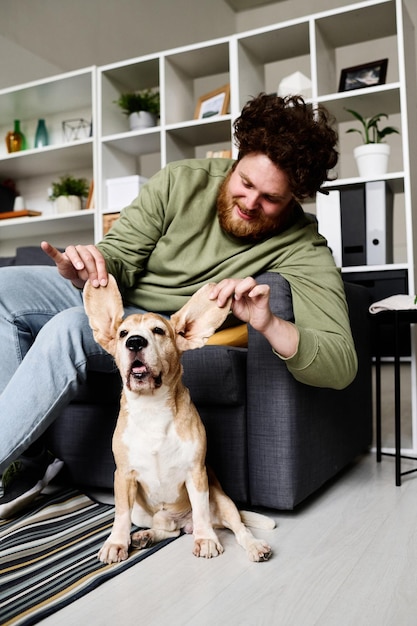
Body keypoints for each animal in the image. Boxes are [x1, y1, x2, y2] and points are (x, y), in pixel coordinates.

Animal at [83, 276, 272, 564]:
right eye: (123, 334)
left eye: (159, 331)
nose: (135, 342)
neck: (151, 406)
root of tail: (185, 522)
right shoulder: (123, 477)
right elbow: (120, 516)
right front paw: (116, 542)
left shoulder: (196, 473)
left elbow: (202, 511)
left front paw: (206, 540)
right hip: (144, 511)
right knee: (170, 530)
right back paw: (146, 536)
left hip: (223, 501)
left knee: (238, 528)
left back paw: (253, 545)